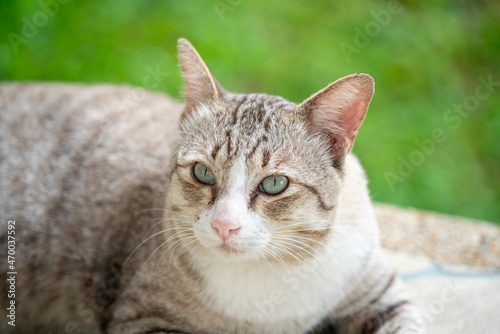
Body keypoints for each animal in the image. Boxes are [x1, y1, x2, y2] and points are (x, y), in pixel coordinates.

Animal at [0, 37, 422, 332]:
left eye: (274, 184)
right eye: (202, 173)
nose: (224, 225)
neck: (275, 270)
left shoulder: (380, 291)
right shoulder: (142, 317)